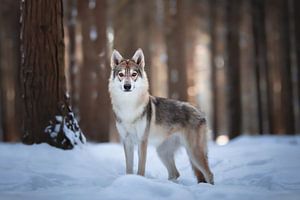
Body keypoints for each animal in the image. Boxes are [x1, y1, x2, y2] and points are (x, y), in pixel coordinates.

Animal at [108, 48, 213, 184]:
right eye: (121, 74)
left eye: (133, 74)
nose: (127, 86)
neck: (128, 107)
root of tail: (200, 111)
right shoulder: (127, 141)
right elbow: (129, 168)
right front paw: (129, 180)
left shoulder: (142, 141)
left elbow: (141, 169)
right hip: (162, 152)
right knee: (175, 173)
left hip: (193, 152)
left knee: (209, 174)